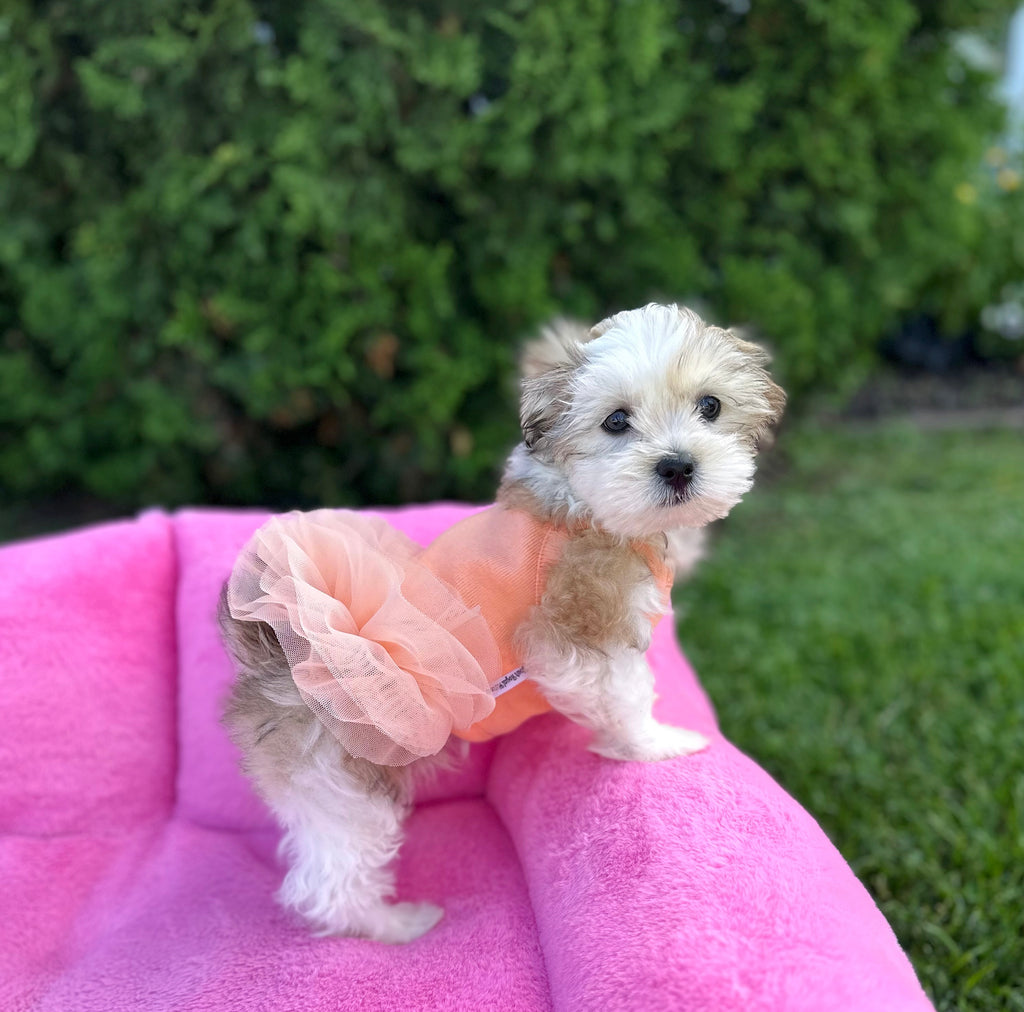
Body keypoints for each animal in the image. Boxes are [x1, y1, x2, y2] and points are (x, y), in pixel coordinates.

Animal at [220, 301, 786, 942]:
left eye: (710, 406)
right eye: (616, 421)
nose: (678, 466)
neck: (586, 504)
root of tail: (279, 652)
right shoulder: (574, 630)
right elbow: (625, 691)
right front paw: (654, 742)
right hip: (341, 783)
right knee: (332, 879)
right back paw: (394, 926)